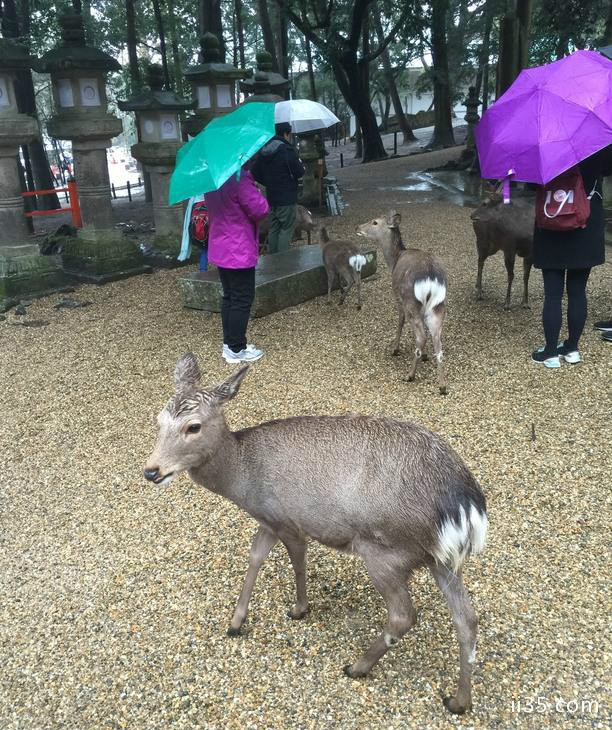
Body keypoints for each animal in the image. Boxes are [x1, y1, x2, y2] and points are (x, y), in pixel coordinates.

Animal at [142, 356, 488, 712]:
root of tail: (466, 504)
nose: (152, 471)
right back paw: (459, 701)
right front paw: (236, 622)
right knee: (467, 620)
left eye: (193, 426)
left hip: (386, 550)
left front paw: (299, 609)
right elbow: (255, 557)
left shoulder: (287, 520)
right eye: (158, 420)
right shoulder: (268, 518)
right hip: (441, 559)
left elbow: (297, 562)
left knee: (404, 615)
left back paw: (357, 667)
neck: (242, 476)